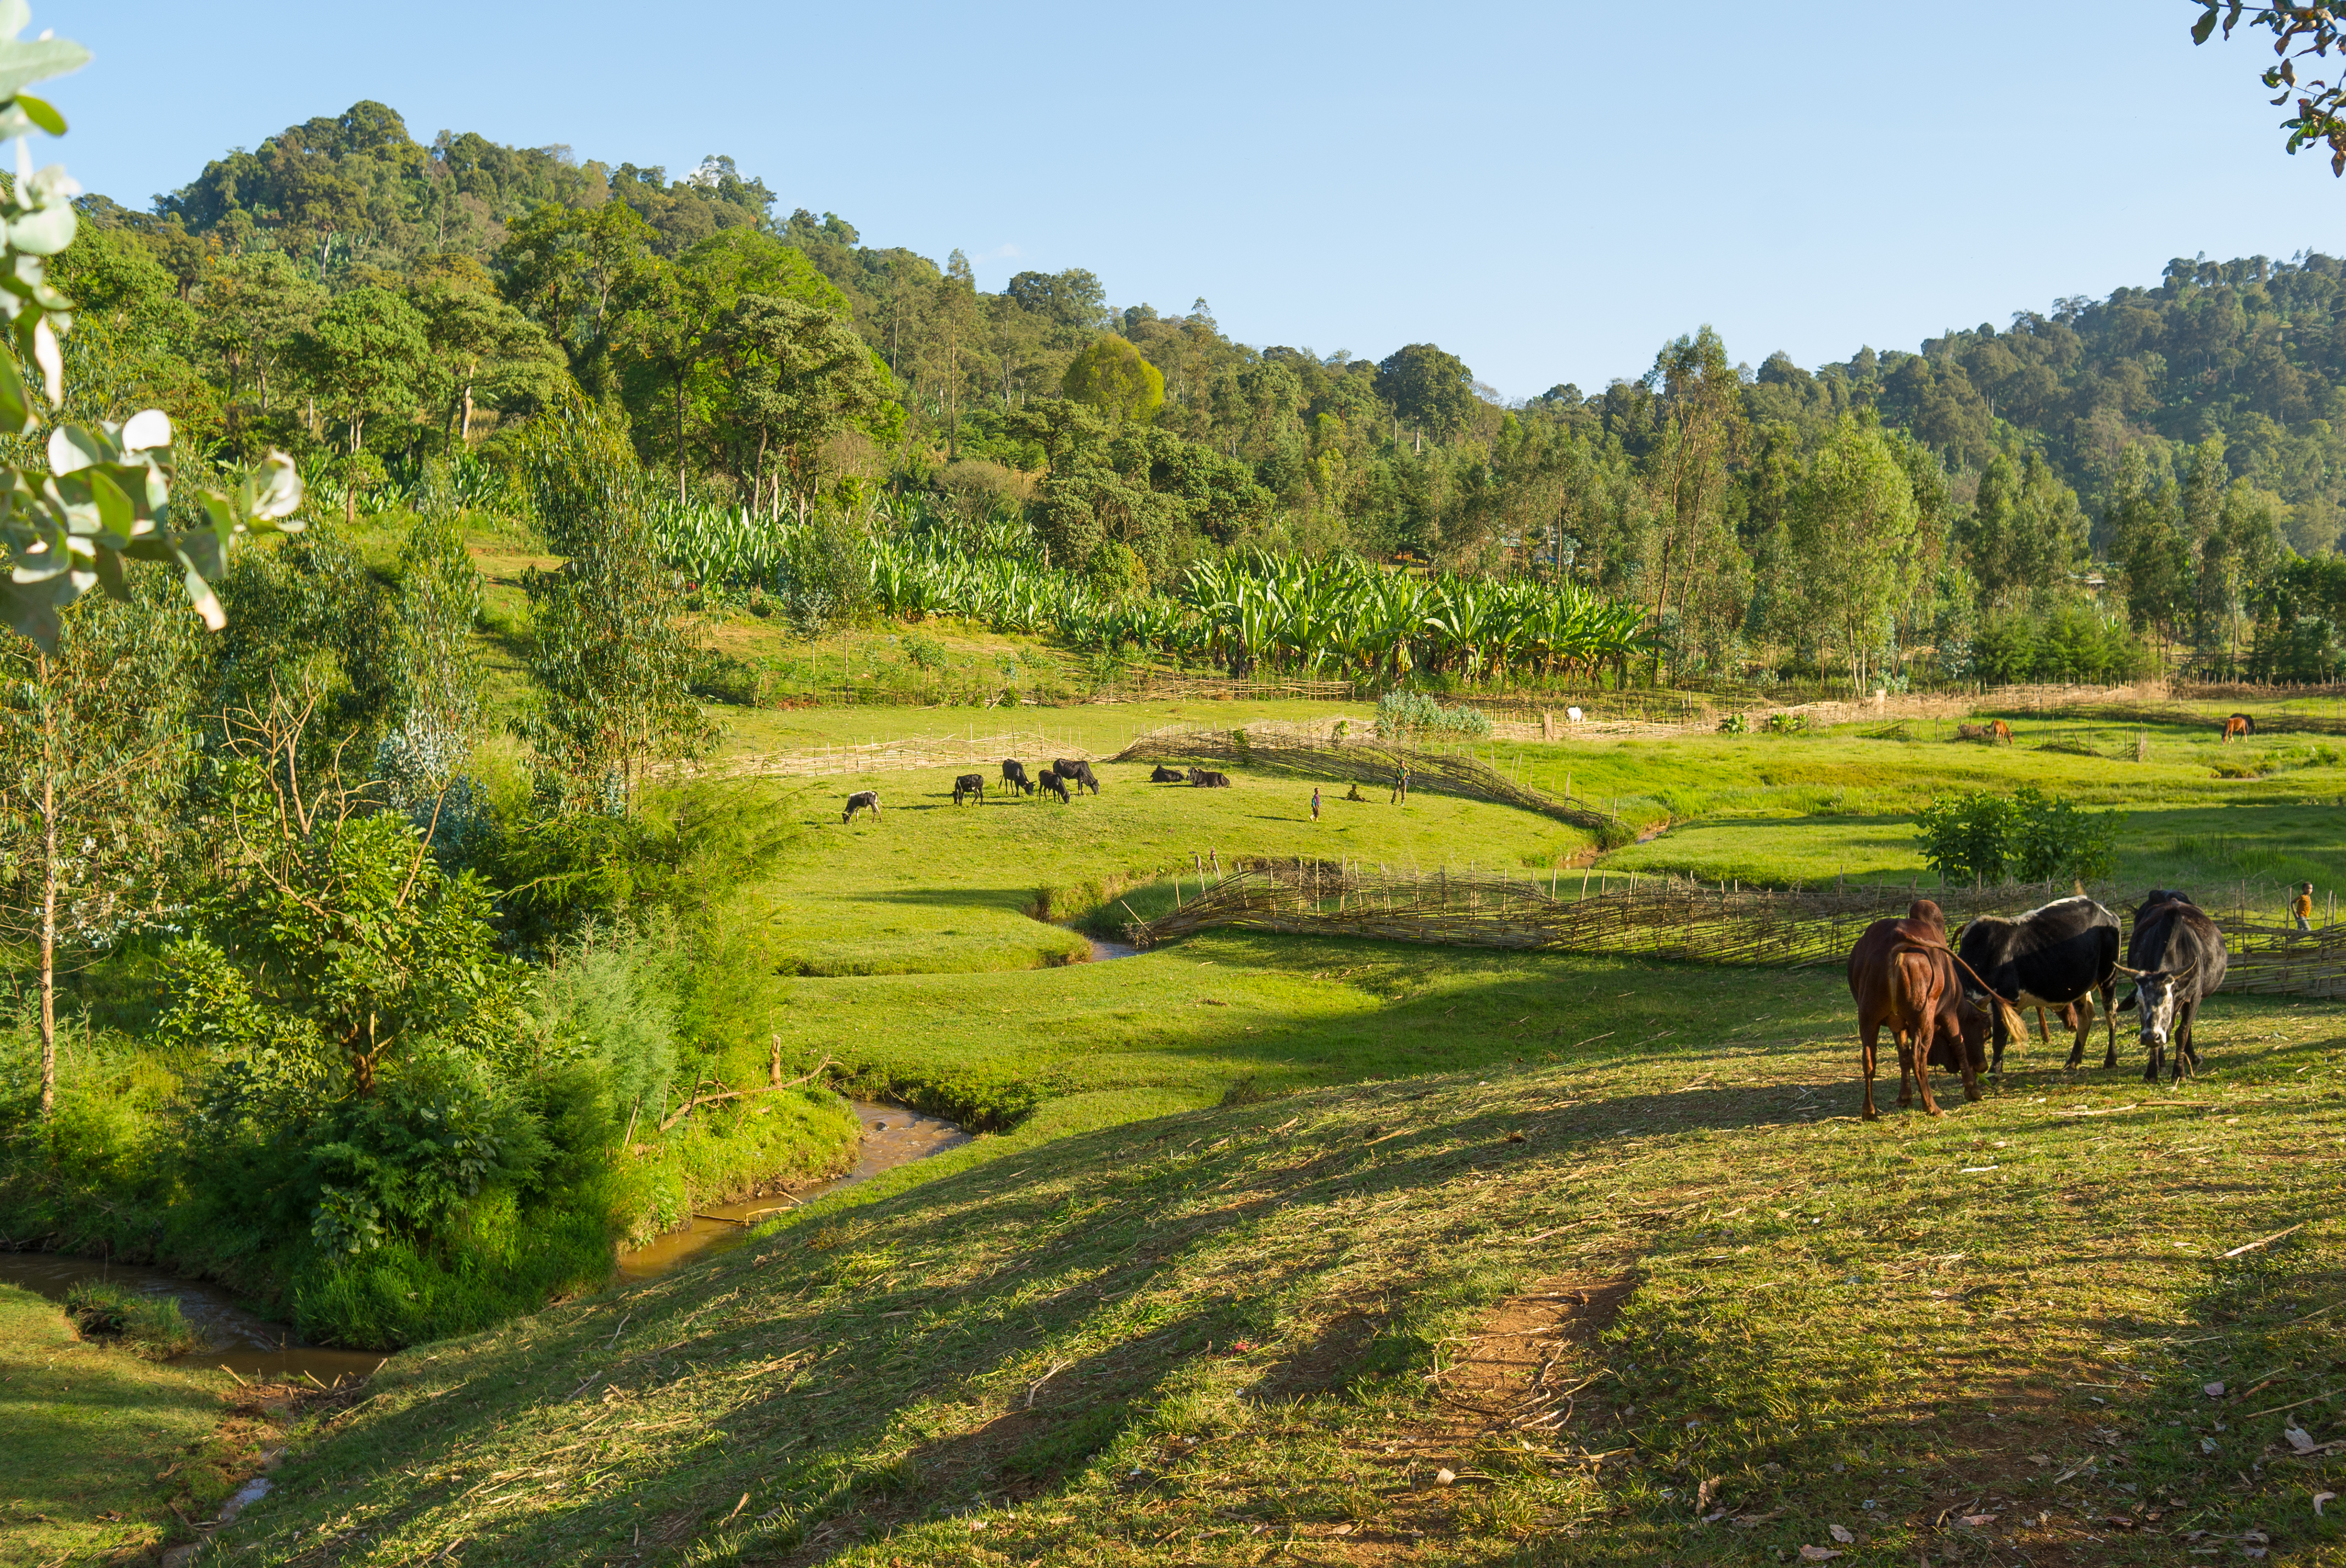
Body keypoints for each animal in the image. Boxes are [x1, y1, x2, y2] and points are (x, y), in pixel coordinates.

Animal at [1848, 900, 1998, 1120]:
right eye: (1986, 1032)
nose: (1983, 1067)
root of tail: (1896, 940)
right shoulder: (1948, 1012)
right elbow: (1959, 1045)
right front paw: (1973, 1090)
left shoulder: (1897, 1024)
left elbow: (1902, 1055)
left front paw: (1904, 1098)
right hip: (1923, 1016)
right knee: (1919, 1057)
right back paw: (1932, 1107)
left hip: (1868, 1018)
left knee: (1869, 1059)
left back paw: (1869, 1112)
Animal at [1952, 891, 2120, 1078]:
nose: (1975, 1068)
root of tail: (2106, 912)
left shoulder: (2005, 998)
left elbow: (1999, 1038)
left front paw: (1995, 1072)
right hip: (2080, 987)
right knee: (2086, 1017)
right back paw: (2072, 1061)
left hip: (2108, 976)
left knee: (2111, 1015)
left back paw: (2110, 1060)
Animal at [2120, 886, 2224, 1083]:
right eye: (2138, 1002)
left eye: (2167, 1001)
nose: (2150, 1037)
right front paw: (2152, 1072)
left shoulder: (2194, 997)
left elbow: (2182, 1032)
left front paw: (2179, 1072)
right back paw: (2162, 1063)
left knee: (2184, 1027)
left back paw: (2191, 1057)